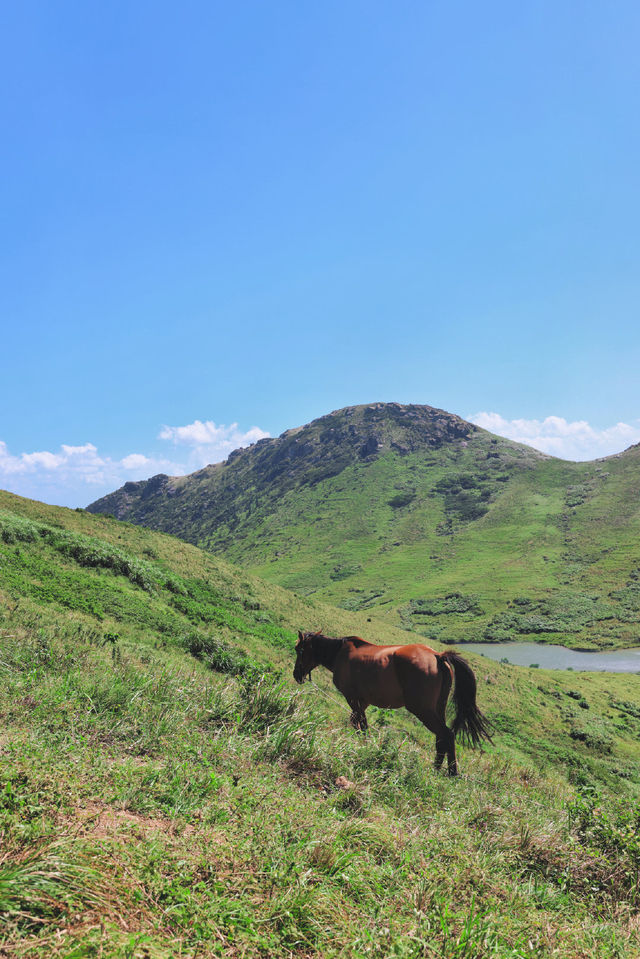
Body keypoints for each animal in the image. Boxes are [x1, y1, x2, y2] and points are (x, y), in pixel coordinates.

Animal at [292, 632, 492, 776]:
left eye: (298, 650)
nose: (296, 675)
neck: (340, 654)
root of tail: (437, 656)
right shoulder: (362, 703)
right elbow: (359, 724)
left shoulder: (353, 700)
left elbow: (360, 726)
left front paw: (364, 746)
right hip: (438, 708)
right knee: (441, 737)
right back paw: (437, 769)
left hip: (422, 710)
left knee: (447, 735)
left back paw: (450, 772)